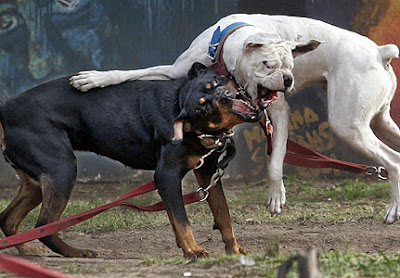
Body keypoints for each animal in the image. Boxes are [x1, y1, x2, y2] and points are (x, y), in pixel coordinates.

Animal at [69, 14, 400, 224]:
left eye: (291, 65)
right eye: (268, 64)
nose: (288, 79)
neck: (224, 52)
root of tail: (379, 51)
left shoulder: (278, 112)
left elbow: (274, 160)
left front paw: (276, 194)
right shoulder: (174, 72)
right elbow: (131, 73)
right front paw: (94, 79)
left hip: (348, 125)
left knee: (392, 161)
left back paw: (392, 211)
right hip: (380, 122)